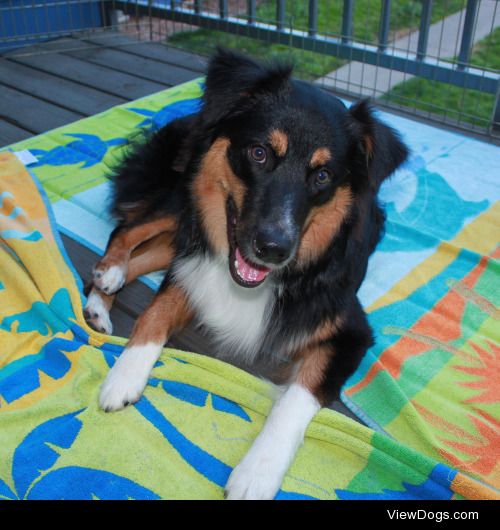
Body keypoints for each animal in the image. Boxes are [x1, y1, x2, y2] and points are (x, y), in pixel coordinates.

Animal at [84, 47, 408, 498]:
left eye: (322, 176)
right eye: (259, 153)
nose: (272, 249)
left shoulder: (350, 333)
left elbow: (297, 396)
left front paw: (257, 472)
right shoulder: (195, 267)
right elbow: (155, 311)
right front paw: (124, 375)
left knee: (143, 245)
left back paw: (101, 299)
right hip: (183, 202)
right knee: (126, 229)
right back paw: (108, 276)